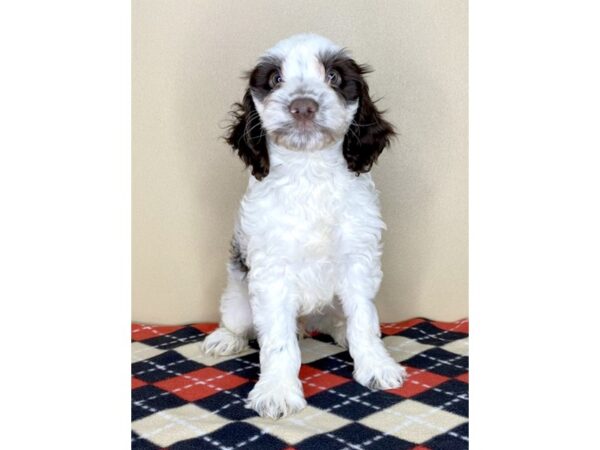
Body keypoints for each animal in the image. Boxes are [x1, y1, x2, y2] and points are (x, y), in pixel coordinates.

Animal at [203, 34, 408, 418]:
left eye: (334, 76)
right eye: (274, 80)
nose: (303, 106)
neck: (310, 172)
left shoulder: (358, 259)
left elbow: (363, 320)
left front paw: (376, 366)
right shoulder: (271, 271)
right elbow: (278, 341)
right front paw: (277, 391)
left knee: (344, 320)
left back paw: (340, 332)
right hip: (238, 296)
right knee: (237, 321)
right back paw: (225, 338)